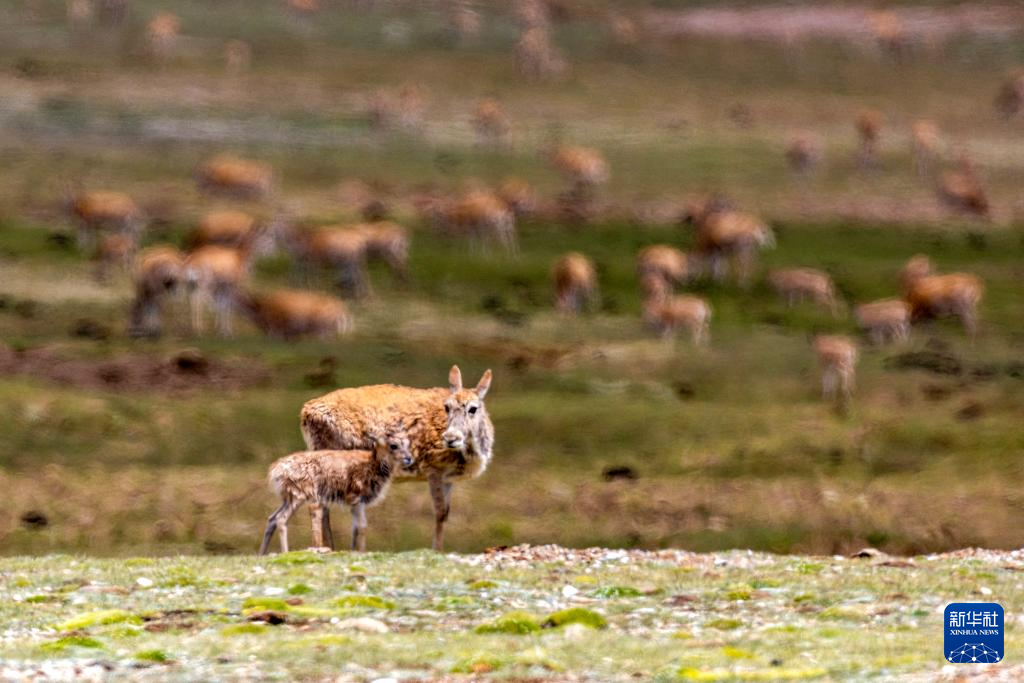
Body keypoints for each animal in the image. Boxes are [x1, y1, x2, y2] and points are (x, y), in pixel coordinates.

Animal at [300, 365, 494, 552]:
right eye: (447, 406)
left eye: (473, 408)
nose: (450, 438)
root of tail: (306, 414)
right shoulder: (434, 468)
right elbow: (439, 513)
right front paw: (438, 550)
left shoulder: (448, 477)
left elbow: (445, 513)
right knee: (316, 504)